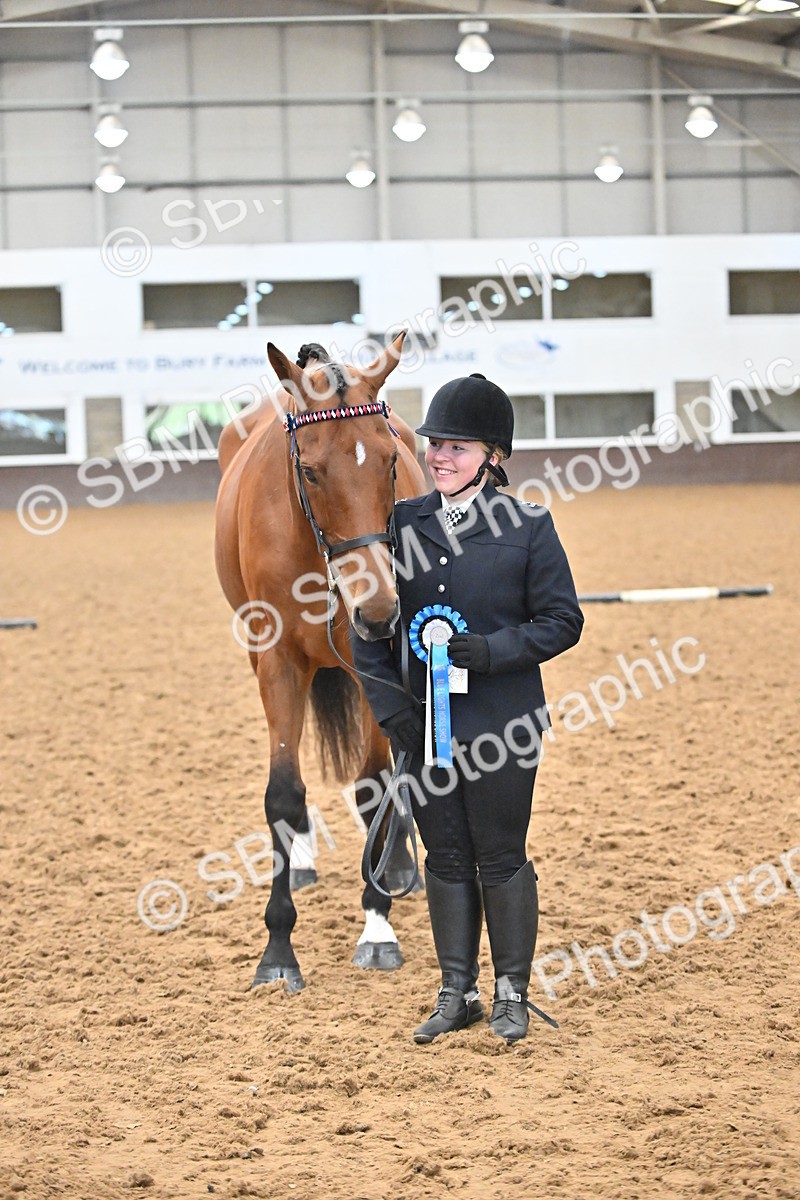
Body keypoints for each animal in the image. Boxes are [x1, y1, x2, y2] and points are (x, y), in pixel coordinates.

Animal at [215, 331, 427, 991]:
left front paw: (378, 925)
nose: (379, 609)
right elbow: (283, 794)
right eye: (309, 470)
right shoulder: (278, 662)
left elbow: (375, 786)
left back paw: (398, 862)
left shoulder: (375, 667)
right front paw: (278, 950)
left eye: (388, 462)